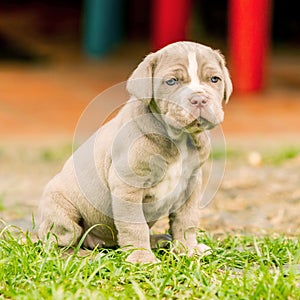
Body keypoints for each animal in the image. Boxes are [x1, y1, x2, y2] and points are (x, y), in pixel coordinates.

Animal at [37, 41, 233, 262]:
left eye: (214, 79)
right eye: (171, 81)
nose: (199, 99)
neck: (179, 138)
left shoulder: (191, 184)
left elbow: (187, 219)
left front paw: (188, 249)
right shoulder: (128, 186)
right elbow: (134, 225)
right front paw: (142, 259)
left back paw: (158, 240)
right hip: (61, 209)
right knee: (57, 244)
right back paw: (83, 256)